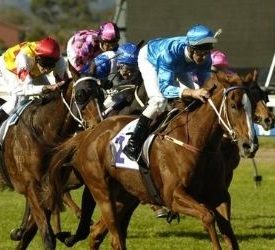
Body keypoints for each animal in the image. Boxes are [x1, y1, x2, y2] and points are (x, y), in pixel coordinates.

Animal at [0, 76, 103, 250]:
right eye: (80, 95)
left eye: (102, 94)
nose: (98, 125)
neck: (44, 132)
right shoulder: (33, 184)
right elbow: (45, 233)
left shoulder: (50, 185)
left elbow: (33, 231)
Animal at [45, 71, 258, 250]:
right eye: (234, 106)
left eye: (253, 105)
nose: (250, 145)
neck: (197, 141)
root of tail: (89, 134)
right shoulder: (173, 196)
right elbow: (208, 216)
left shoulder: (219, 196)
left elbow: (228, 231)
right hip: (103, 193)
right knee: (115, 239)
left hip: (125, 198)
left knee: (97, 233)